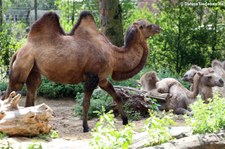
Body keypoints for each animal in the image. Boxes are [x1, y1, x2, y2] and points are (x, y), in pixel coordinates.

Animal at [0, 10, 161, 132]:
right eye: (148, 25)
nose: (159, 28)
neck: (114, 55)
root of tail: (18, 51)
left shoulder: (102, 79)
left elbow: (117, 97)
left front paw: (126, 121)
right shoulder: (92, 77)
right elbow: (86, 103)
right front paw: (86, 127)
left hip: (33, 70)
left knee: (32, 90)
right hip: (21, 66)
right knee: (9, 92)